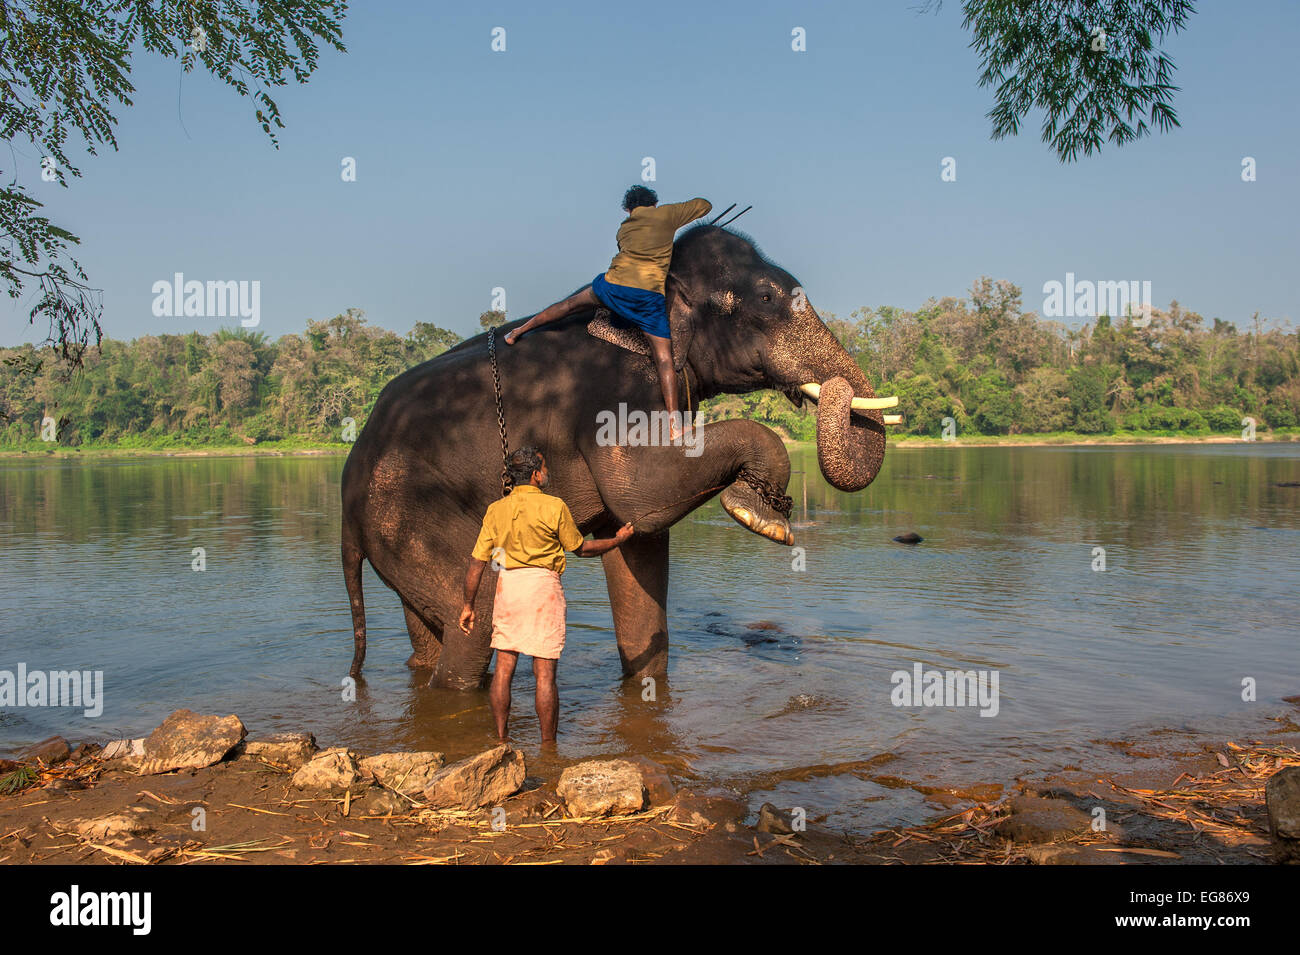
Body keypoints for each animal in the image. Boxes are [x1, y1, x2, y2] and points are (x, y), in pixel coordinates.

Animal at [340, 223, 899, 686]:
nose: (838, 391)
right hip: (410, 514)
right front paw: (761, 518)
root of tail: (348, 506)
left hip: (398, 539)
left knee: (425, 633)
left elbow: (641, 543)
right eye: (765, 297)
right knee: (471, 628)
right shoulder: (616, 396)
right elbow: (640, 493)